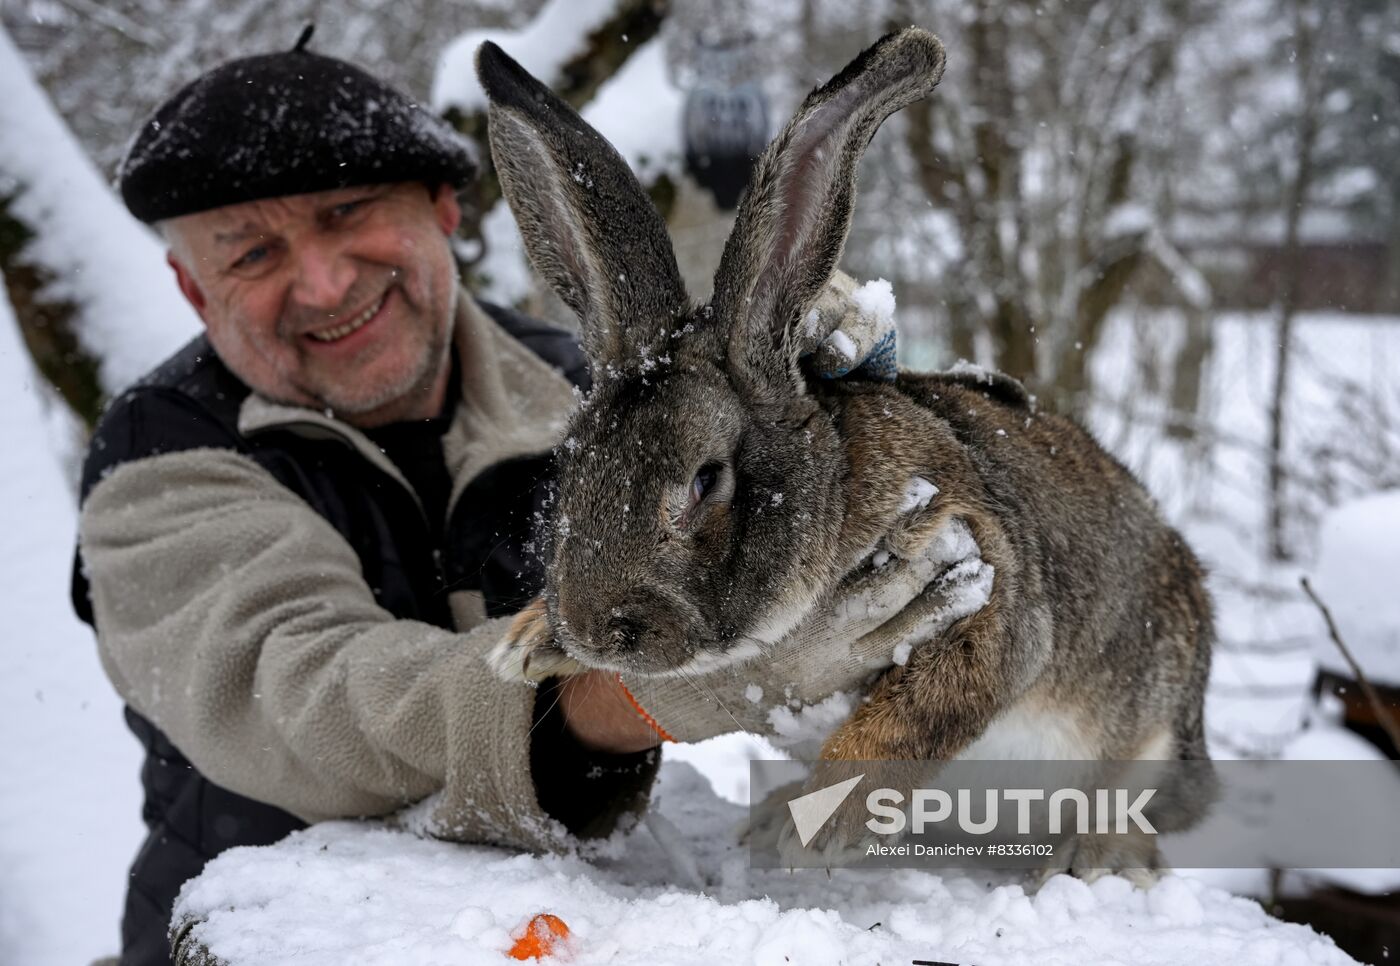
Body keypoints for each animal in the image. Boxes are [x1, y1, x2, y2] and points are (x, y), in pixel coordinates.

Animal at [473, 24, 1215, 873]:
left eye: (703, 482)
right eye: (569, 470)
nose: (593, 628)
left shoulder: (980, 587)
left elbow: (905, 723)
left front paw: (815, 823)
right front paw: (526, 643)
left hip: (1150, 730)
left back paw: (1092, 857)